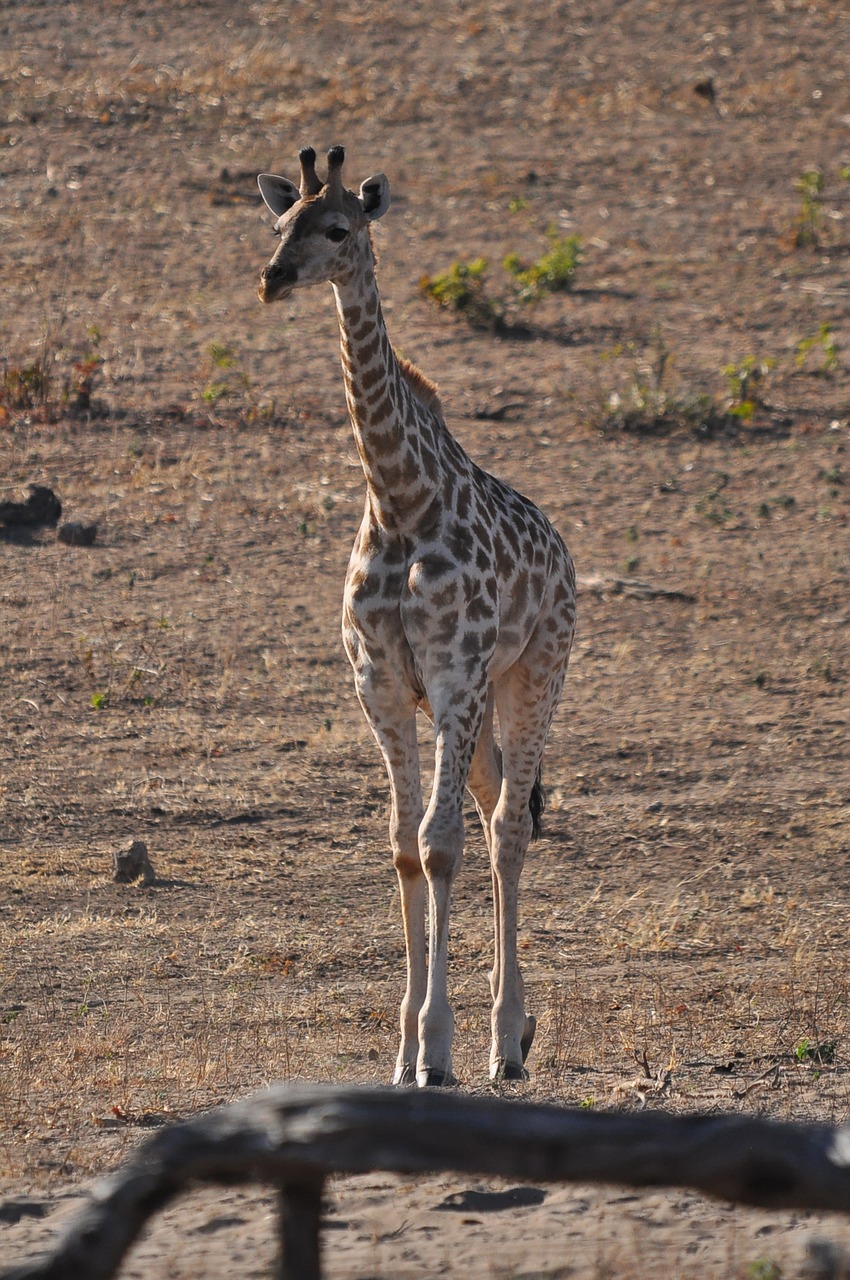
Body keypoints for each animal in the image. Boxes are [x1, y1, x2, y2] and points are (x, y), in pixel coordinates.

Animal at [257, 147, 578, 1090]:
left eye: (339, 229)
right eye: (278, 224)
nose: (273, 278)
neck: (399, 500)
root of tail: (563, 552)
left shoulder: (455, 669)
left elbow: (440, 848)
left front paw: (438, 1049)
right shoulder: (384, 685)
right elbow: (404, 845)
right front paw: (403, 1051)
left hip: (534, 671)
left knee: (506, 827)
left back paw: (505, 1044)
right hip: (470, 702)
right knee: (495, 803)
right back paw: (517, 1029)